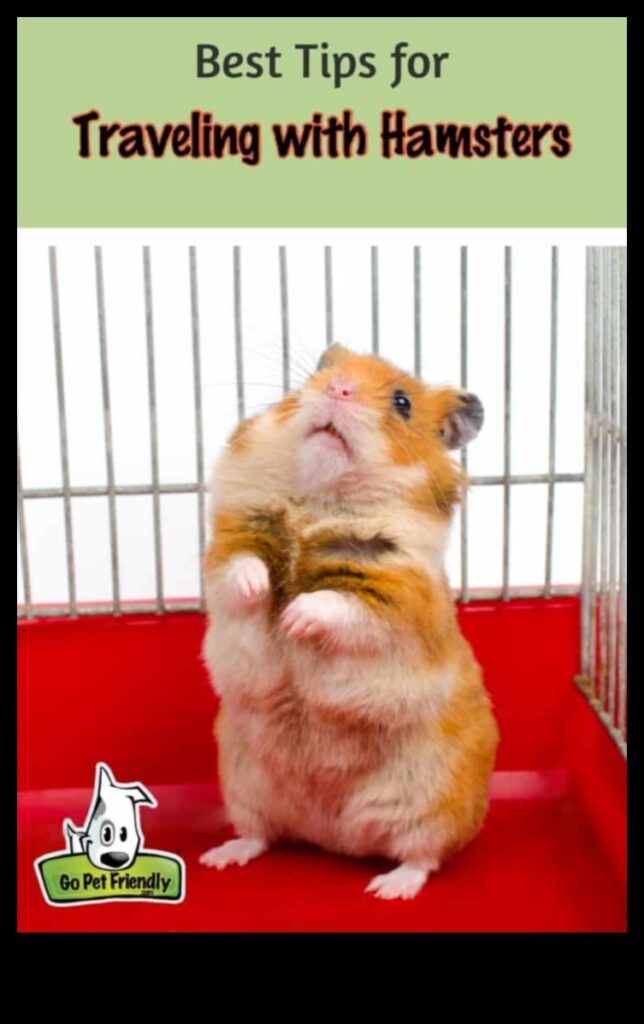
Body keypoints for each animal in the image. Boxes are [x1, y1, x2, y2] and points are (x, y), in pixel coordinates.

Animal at [199, 344, 499, 900]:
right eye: (321, 372)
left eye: (402, 402)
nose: (338, 389)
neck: (320, 498)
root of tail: (333, 836)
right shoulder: (232, 538)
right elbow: (239, 569)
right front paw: (262, 592)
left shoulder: (395, 592)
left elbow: (338, 604)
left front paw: (293, 619)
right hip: (244, 784)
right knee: (260, 834)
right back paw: (220, 857)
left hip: (433, 802)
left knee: (422, 856)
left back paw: (388, 888)